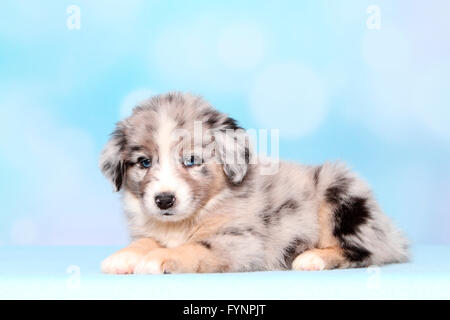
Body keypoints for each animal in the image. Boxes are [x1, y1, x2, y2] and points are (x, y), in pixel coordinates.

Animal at [100, 91, 410, 274]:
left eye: (191, 160)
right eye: (144, 163)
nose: (164, 200)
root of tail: (391, 231)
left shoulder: (241, 241)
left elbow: (195, 248)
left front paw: (160, 258)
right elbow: (146, 241)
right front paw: (124, 256)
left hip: (340, 192)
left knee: (368, 252)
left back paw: (312, 258)